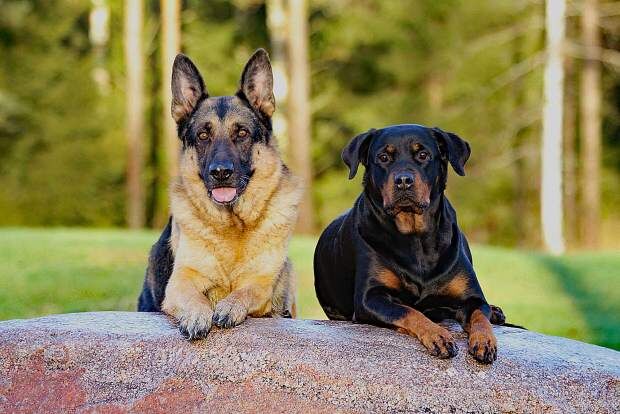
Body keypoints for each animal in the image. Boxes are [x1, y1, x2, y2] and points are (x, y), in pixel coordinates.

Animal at [137, 49, 302, 340]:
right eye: (203, 135)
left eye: (242, 133)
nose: (221, 172)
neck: (233, 227)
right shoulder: (181, 280)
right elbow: (194, 297)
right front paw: (197, 314)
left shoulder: (261, 283)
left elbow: (246, 291)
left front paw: (229, 306)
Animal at [312, 124, 506, 364]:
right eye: (383, 157)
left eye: (423, 155)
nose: (403, 180)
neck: (415, 237)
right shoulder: (370, 298)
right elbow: (409, 311)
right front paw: (437, 335)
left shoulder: (472, 297)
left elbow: (480, 315)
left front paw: (485, 340)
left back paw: (495, 311)